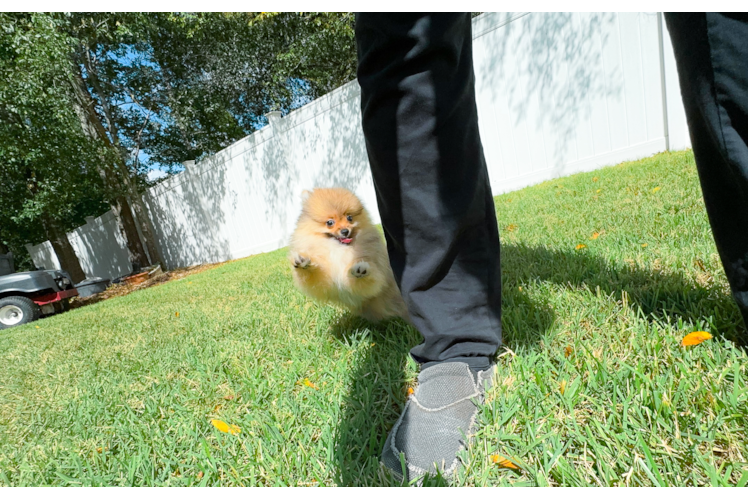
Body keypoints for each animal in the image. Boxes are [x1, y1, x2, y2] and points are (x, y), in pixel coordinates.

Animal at [288, 188, 410, 324]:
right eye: (330, 222)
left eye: (350, 218)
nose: (345, 231)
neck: (339, 249)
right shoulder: (326, 282)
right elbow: (315, 277)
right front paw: (303, 262)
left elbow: (370, 281)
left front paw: (361, 268)